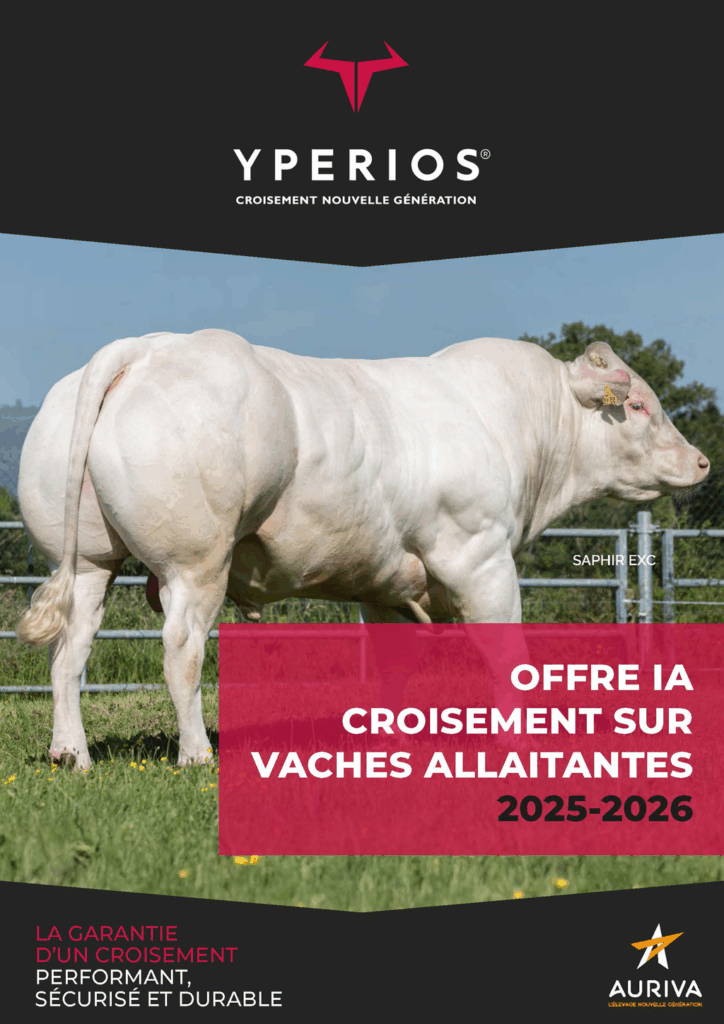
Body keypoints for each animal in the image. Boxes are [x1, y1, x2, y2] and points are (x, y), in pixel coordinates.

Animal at [15, 330, 709, 769]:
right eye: (638, 404)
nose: (702, 461)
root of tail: (148, 346)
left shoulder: (386, 586)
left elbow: (390, 673)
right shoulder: (479, 556)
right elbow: (508, 654)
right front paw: (524, 747)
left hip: (88, 563)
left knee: (68, 654)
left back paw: (71, 754)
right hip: (196, 563)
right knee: (181, 652)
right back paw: (196, 755)